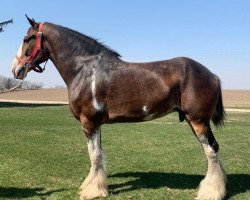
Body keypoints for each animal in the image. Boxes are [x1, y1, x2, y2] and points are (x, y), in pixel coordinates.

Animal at [11, 15, 227, 200]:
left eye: (26, 39)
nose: (16, 69)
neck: (85, 70)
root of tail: (213, 75)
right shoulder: (96, 124)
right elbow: (97, 153)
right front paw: (93, 185)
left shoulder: (88, 122)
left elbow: (94, 155)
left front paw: (93, 191)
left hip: (198, 121)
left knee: (211, 150)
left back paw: (211, 192)